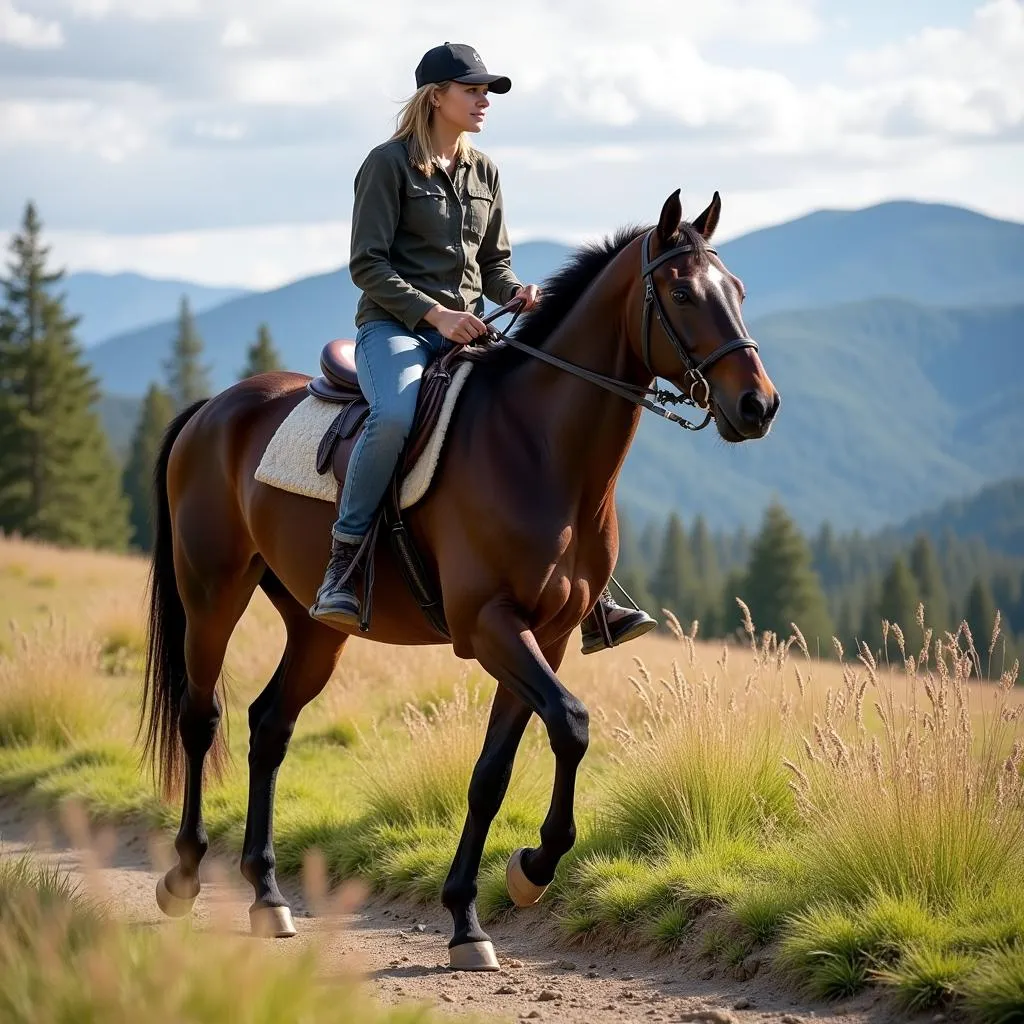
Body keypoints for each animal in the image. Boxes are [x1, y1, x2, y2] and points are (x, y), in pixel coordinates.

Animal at [140, 190, 778, 966]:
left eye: (737, 290)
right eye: (683, 293)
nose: (758, 406)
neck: (536, 448)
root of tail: (213, 409)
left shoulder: (545, 637)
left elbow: (494, 773)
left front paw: (473, 914)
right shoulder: (490, 626)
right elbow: (572, 724)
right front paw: (531, 868)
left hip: (315, 627)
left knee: (270, 726)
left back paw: (267, 895)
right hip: (211, 595)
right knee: (202, 719)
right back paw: (182, 875)